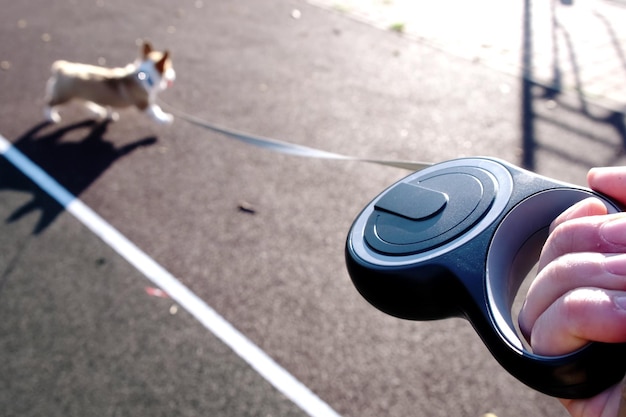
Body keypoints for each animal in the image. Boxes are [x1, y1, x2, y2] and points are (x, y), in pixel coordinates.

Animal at [44, 41, 174, 124]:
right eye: (170, 68)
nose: (174, 75)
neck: (145, 75)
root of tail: (61, 68)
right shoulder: (144, 104)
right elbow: (156, 111)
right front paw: (165, 120)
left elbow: (111, 107)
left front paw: (110, 115)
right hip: (64, 96)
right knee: (50, 103)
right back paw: (51, 117)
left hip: (78, 94)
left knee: (83, 101)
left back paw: (96, 111)